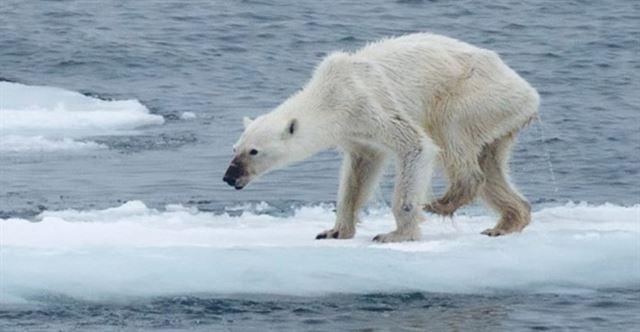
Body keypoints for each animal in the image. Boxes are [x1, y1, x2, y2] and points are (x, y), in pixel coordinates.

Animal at [222, 32, 536, 243]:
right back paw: (505, 222)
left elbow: (416, 145)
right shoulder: (355, 132)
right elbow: (359, 171)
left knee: (451, 132)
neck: (330, 94)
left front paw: (395, 234)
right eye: (235, 148)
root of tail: (529, 92)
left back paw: (443, 202)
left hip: (476, 95)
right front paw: (334, 230)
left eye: (253, 151)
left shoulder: (368, 104)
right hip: (499, 117)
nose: (228, 177)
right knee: (491, 164)